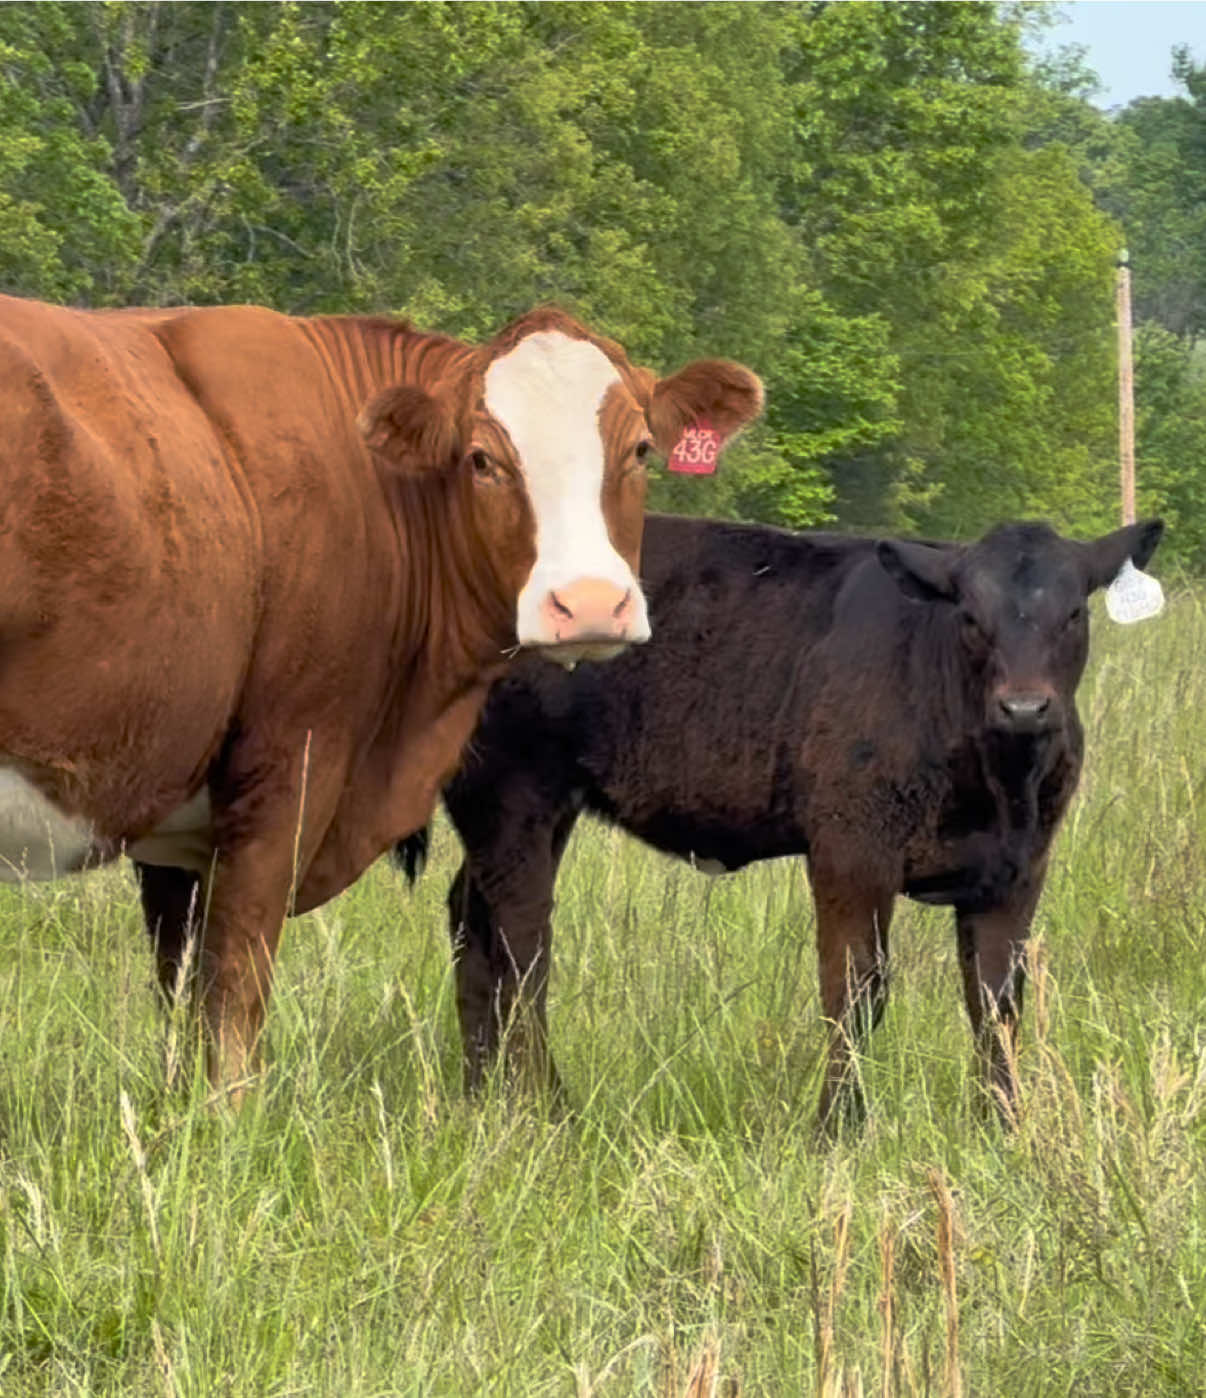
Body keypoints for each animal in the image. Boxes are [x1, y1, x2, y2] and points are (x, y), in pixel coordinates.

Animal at [0, 294, 763, 1087]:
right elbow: (235, 998)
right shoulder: (290, 771)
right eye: (482, 459)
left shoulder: (175, 812)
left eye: (640, 449)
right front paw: (229, 1112)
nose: (587, 603)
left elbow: (179, 995)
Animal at [397, 511, 1163, 1129]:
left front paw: (1000, 1126)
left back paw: (479, 1096)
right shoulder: (851, 849)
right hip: (515, 793)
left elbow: (996, 1002)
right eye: (971, 617)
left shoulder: (1018, 868)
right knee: (524, 950)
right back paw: (548, 1107)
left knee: (472, 923)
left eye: (1074, 613)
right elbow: (856, 990)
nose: (1025, 707)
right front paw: (839, 1128)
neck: (997, 782)